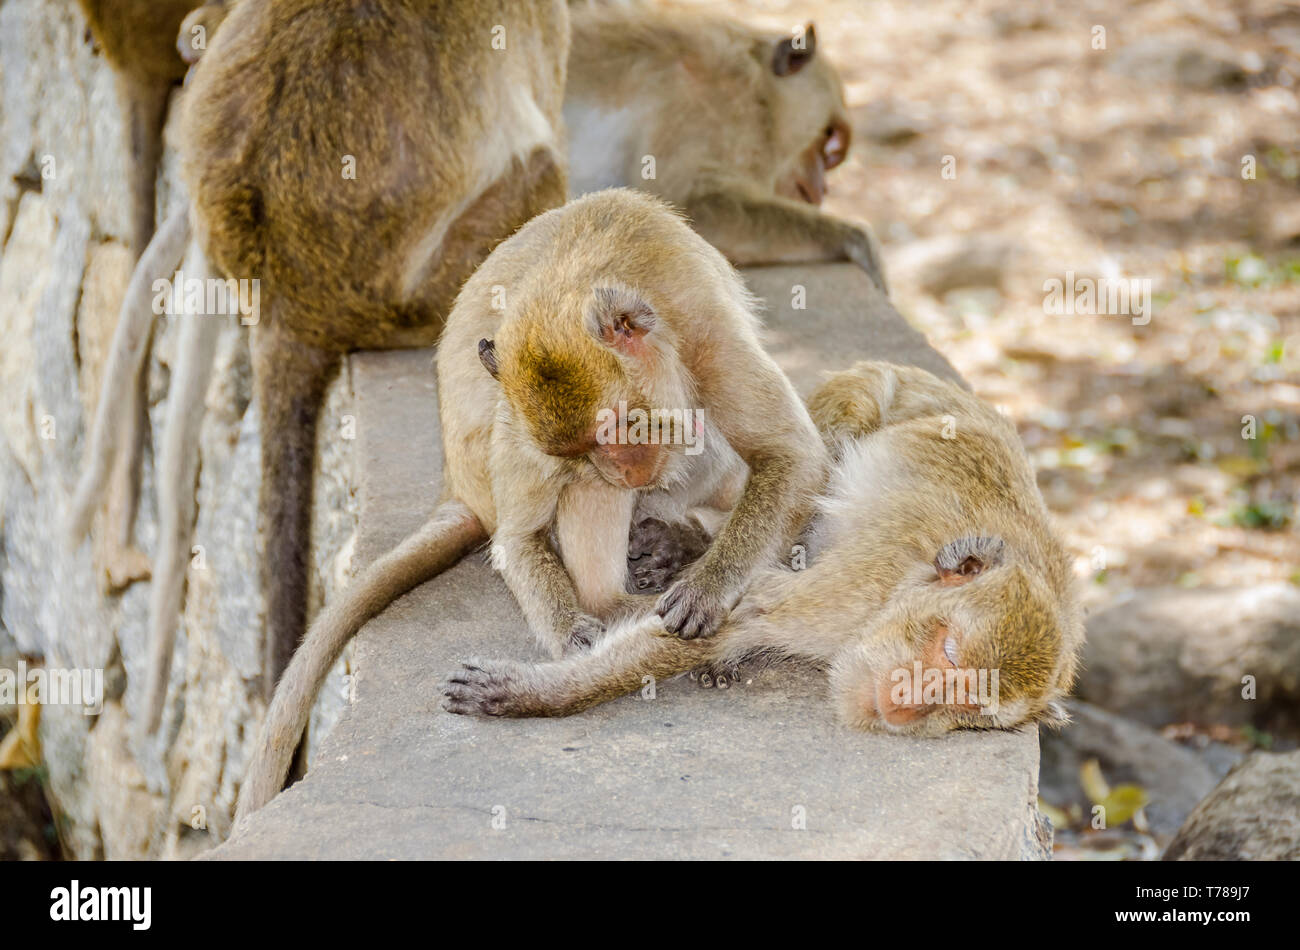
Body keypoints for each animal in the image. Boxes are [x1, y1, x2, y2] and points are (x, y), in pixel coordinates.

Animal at [441, 358, 1081, 738]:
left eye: (969, 706)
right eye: (948, 650)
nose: (903, 703)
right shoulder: (854, 591)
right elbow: (749, 609)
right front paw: (537, 695)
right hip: (859, 391)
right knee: (823, 447)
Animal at [564, 1, 889, 291]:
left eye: (831, 156)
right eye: (830, 141)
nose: (823, 186)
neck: (761, 95)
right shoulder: (718, 113)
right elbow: (691, 204)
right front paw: (858, 240)